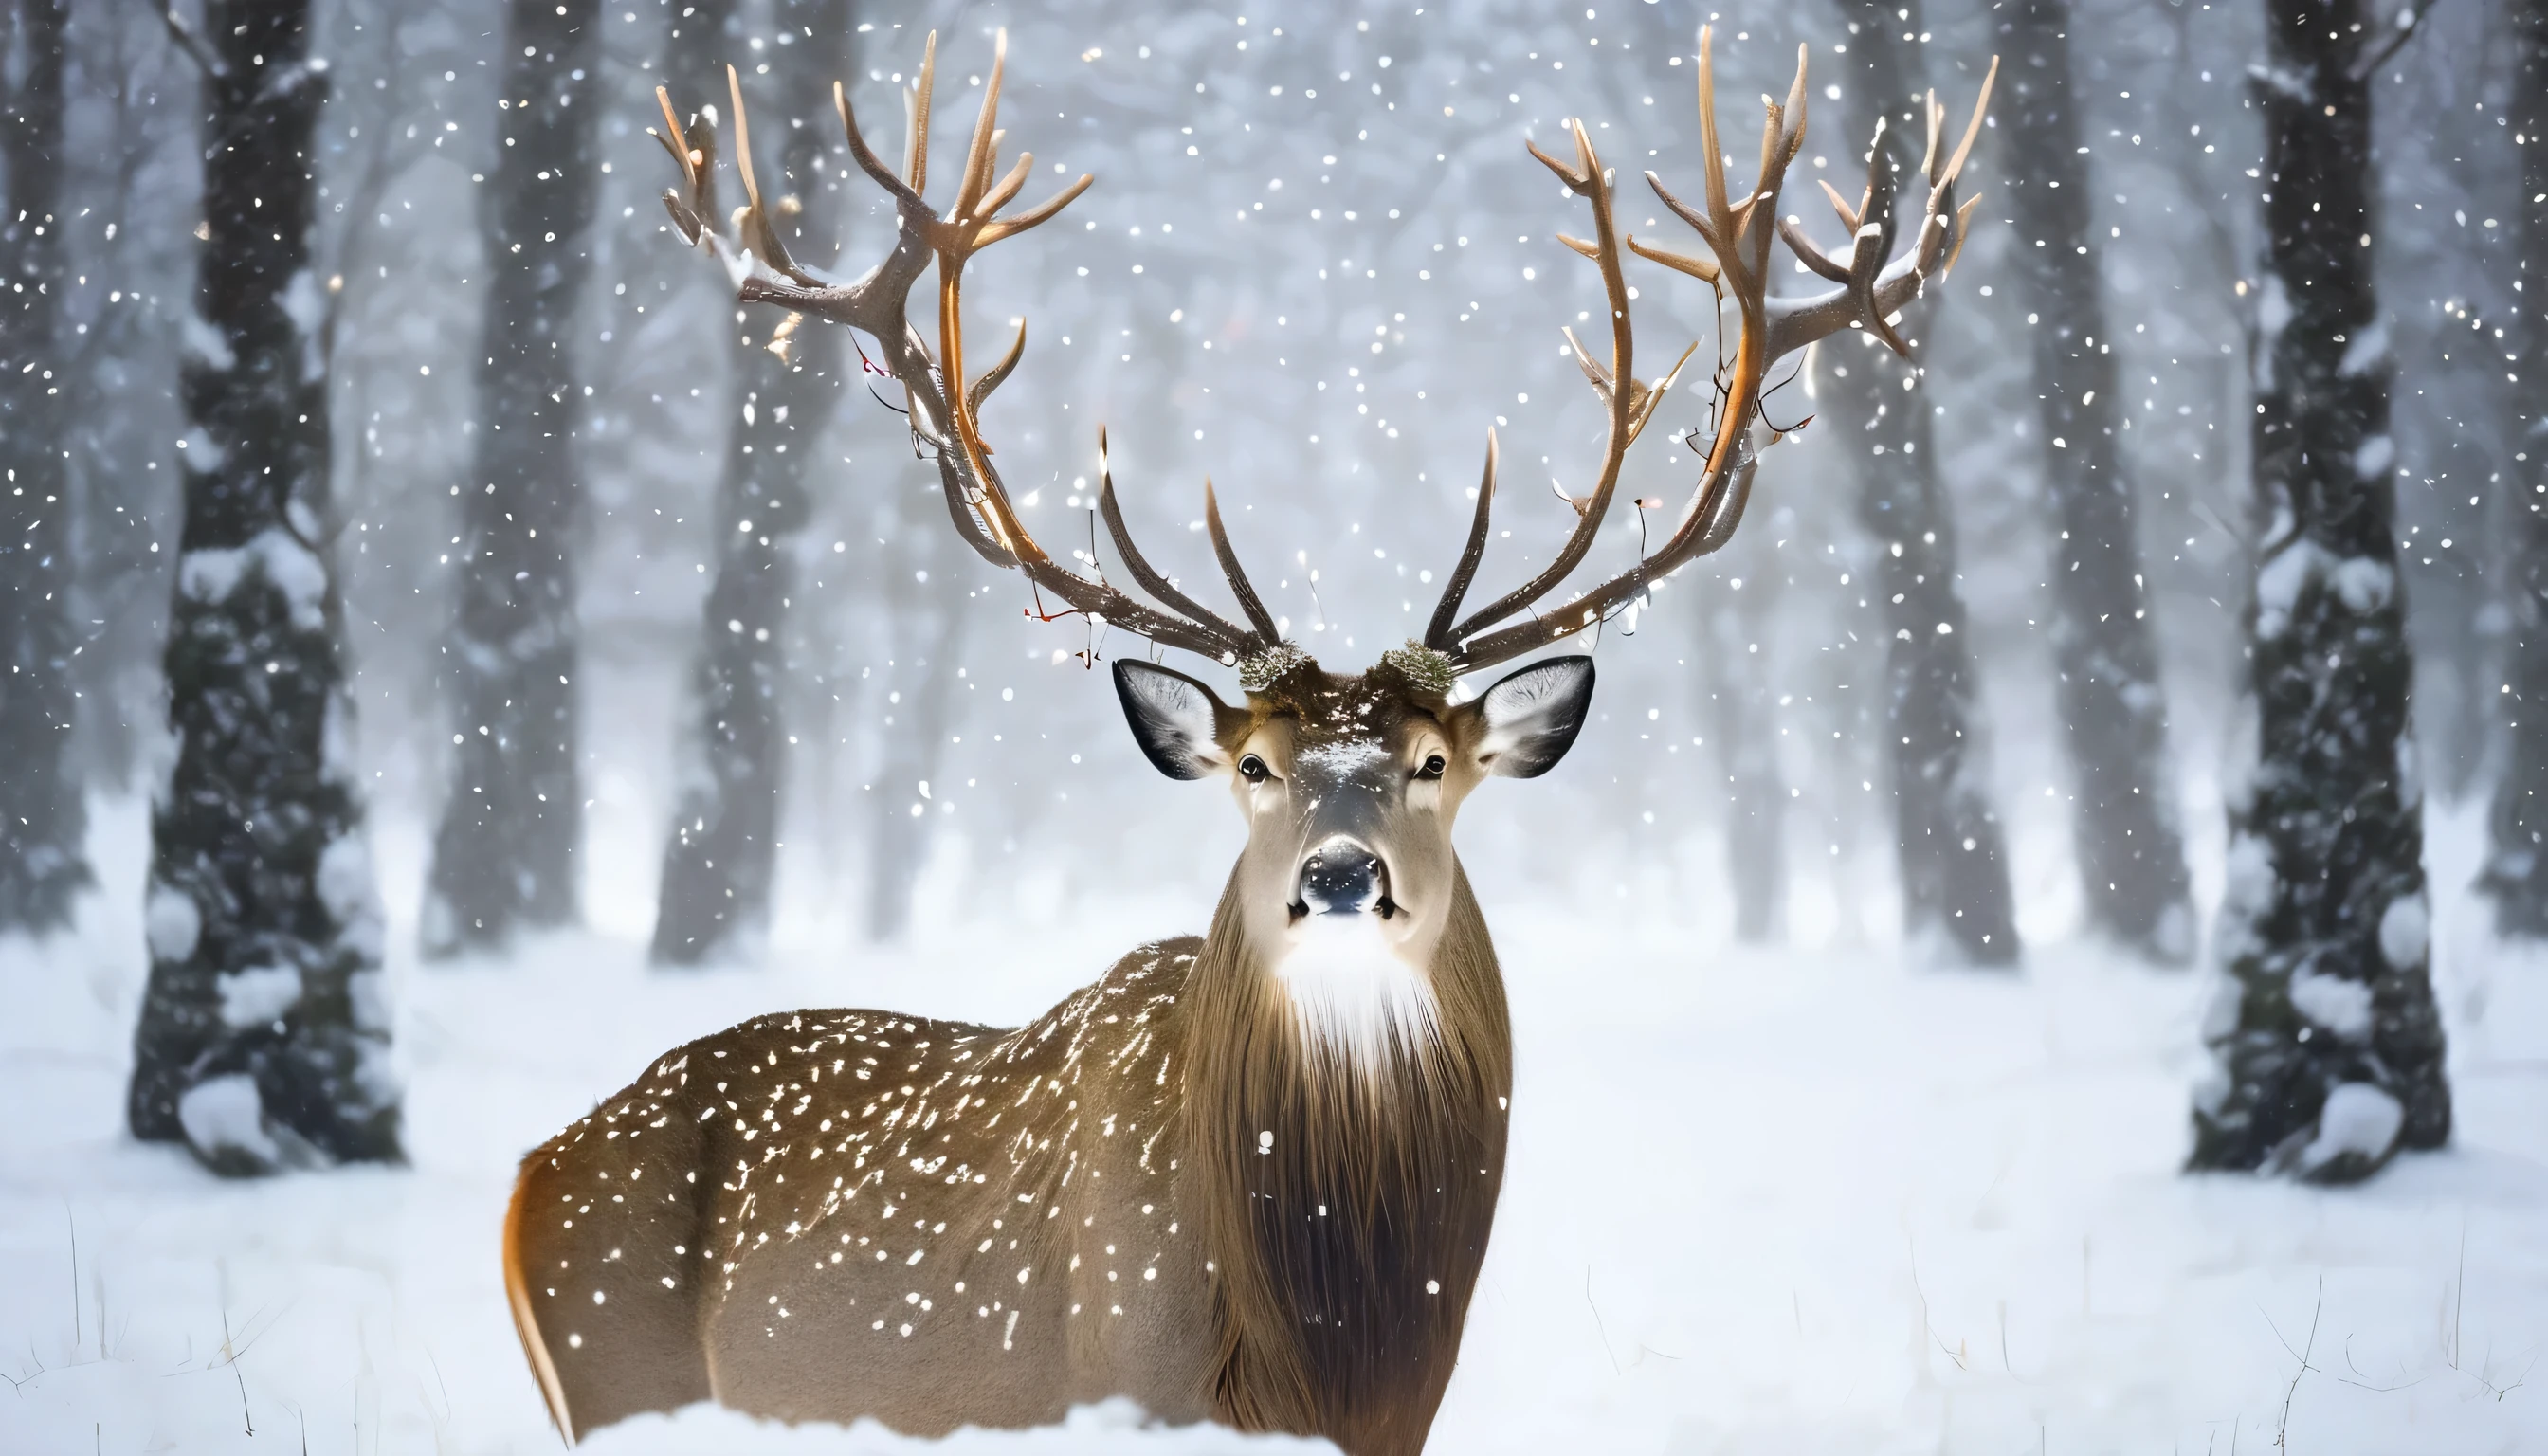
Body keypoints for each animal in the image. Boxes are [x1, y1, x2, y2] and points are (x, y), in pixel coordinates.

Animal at [501, 28, 1987, 1447]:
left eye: (1434, 764)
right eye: (1254, 766)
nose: (1337, 875)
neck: (1328, 1353)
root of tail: (532, 1173)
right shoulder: (1116, 1386)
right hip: (624, 1375)